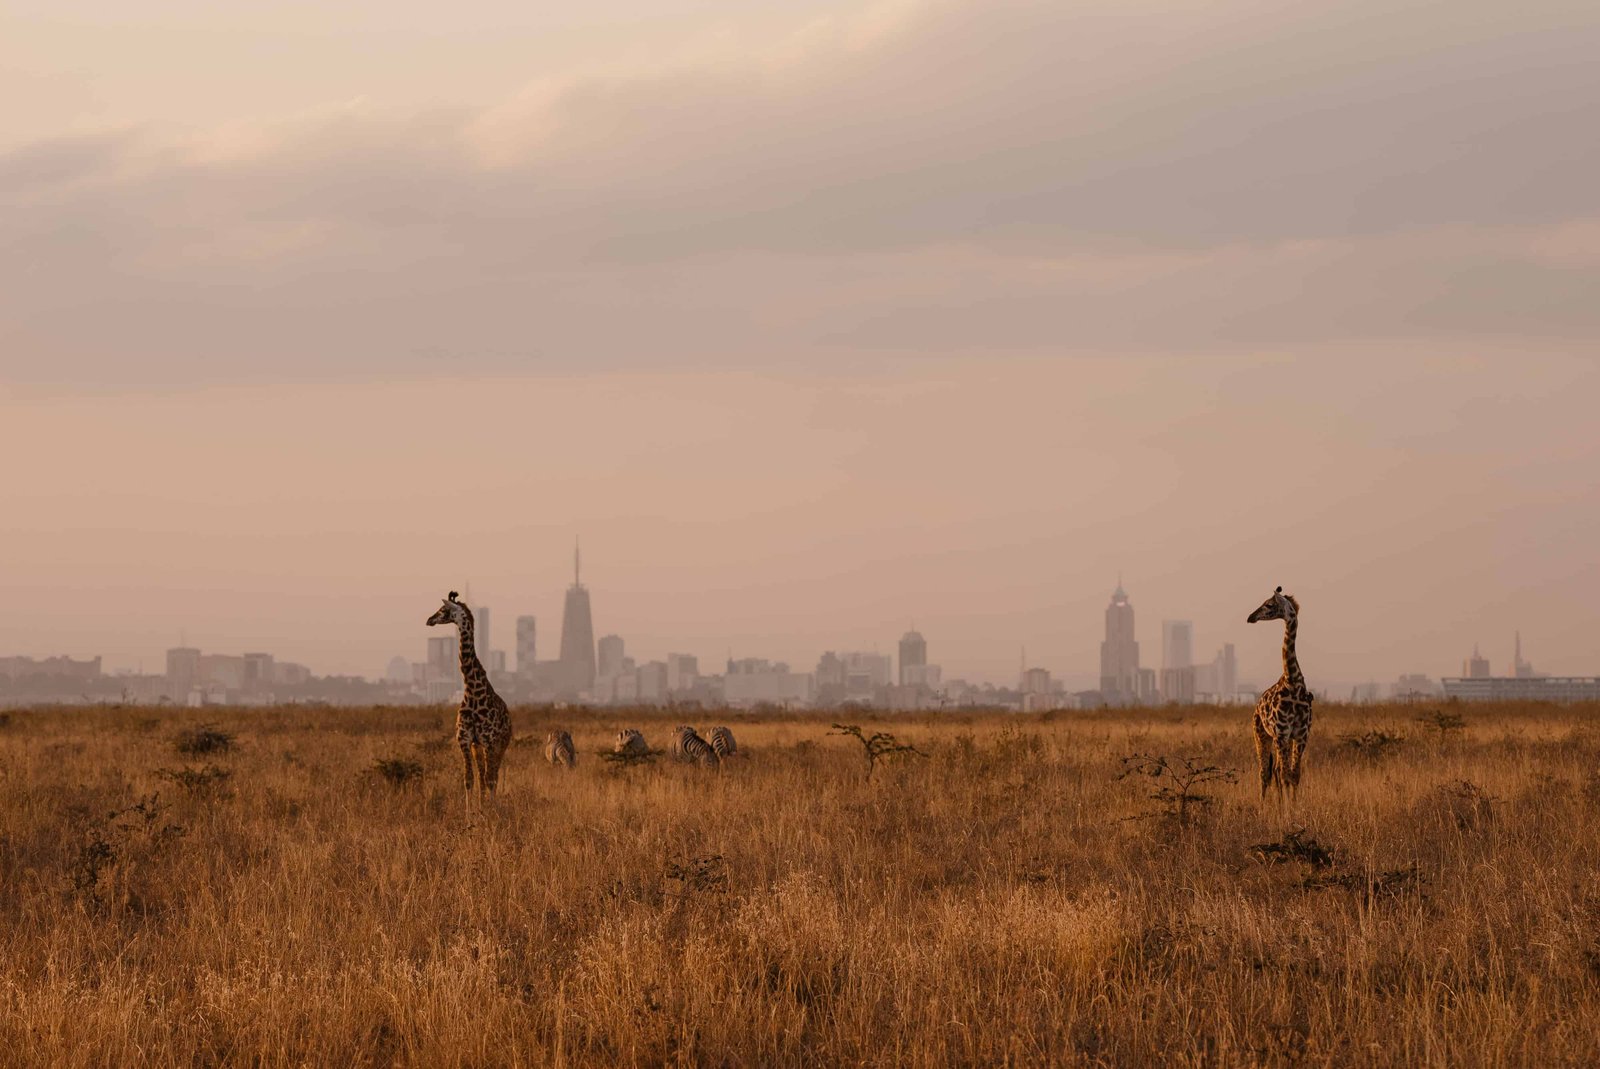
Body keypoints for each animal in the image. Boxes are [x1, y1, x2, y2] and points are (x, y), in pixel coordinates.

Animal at [426, 591, 513, 809]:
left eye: (443, 609)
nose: (429, 620)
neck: (472, 692)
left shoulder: (489, 741)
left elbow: (490, 780)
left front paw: (491, 811)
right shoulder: (465, 740)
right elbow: (469, 779)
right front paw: (471, 813)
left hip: (501, 744)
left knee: (494, 775)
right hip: (478, 747)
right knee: (483, 775)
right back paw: (482, 807)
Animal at [1247, 586, 1314, 803]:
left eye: (1269, 605)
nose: (1250, 617)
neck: (1293, 681)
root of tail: (1256, 709)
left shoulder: (1300, 735)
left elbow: (1294, 776)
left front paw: (1294, 809)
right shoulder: (1281, 733)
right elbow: (1284, 776)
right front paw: (1286, 811)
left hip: (1280, 740)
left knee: (1274, 771)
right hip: (1261, 735)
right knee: (1264, 774)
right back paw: (1263, 807)